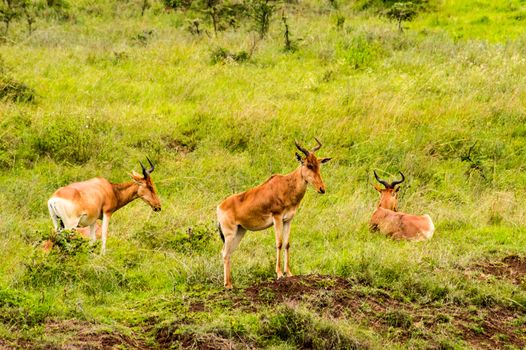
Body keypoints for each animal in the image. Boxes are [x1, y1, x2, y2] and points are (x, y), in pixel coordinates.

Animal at [218, 138, 332, 288]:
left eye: (319, 165)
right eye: (308, 164)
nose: (321, 189)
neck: (286, 185)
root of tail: (220, 207)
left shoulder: (288, 220)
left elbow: (287, 244)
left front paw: (289, 273)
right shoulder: (277, 218)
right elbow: (279, 243)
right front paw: (279, 274)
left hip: (240, 232)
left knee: (228, 252)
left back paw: (230, 283)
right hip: (229, 233)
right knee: (225, 253)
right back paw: (228, 285)